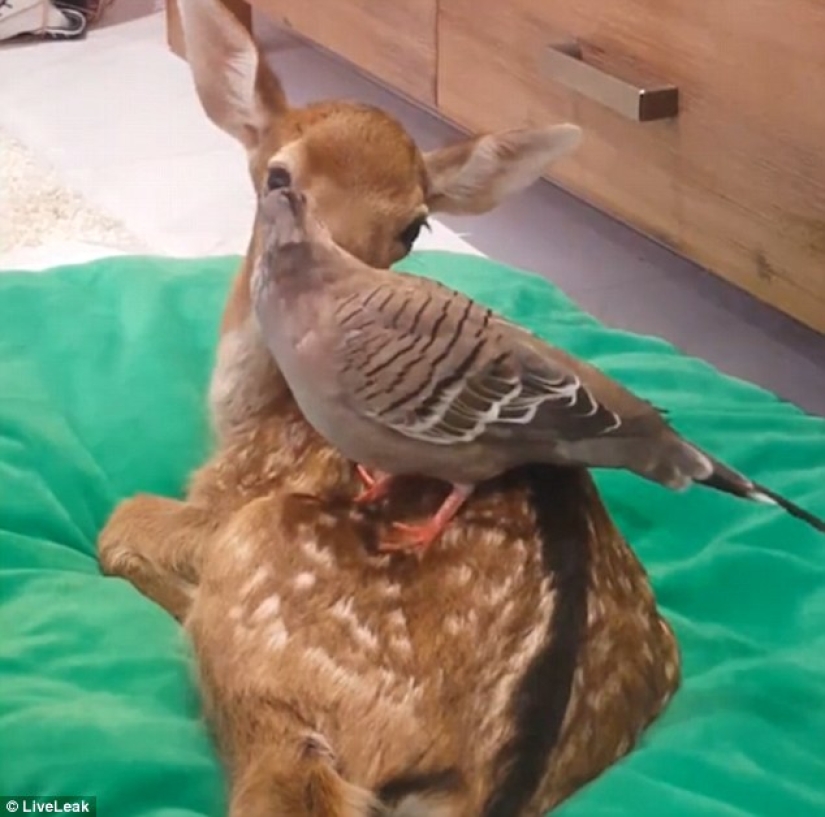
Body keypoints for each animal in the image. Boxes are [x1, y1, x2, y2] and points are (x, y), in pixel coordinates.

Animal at [96, 1, 681, 815]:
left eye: (413, 224)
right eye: (278, 176)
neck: (253, 404)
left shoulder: (238, 493)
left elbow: (120, 520)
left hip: (265, 552)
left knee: (288, 780)